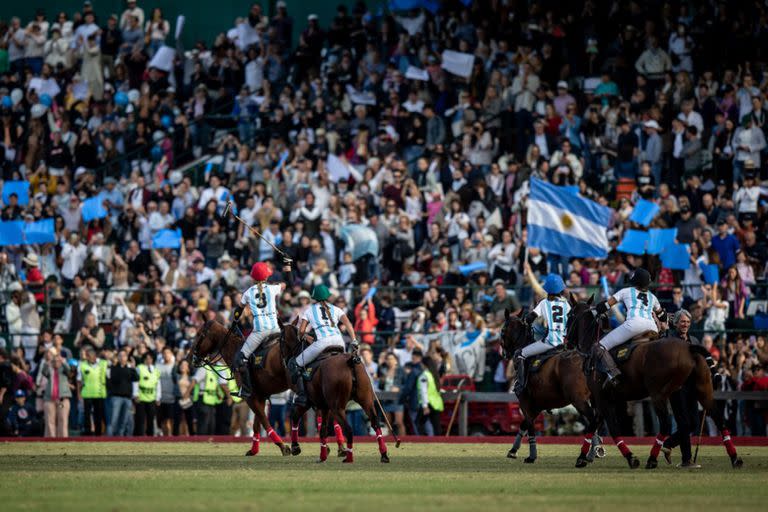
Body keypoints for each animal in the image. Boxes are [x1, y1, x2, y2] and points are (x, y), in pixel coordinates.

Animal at [280, 324, 390, 464]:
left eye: (280, 340)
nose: (284, 360)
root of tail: (351, 361)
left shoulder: (308, 402)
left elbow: (295, 416)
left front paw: (295, 447)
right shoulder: (323, 406)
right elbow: (323, 429)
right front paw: (323, 455)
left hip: (337, 407)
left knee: (349, 429)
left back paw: (349, 457)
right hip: (366, 400)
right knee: (375, 422)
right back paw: (384, 454)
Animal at [500, 308, 604, 468]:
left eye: (502, 330)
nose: (504, 353)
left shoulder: (525, 402)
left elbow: (530, 426)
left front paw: (531, 456)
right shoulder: (539, 405)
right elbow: (524, 424)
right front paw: (513, 450)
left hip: (579, 401)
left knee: (593, 420)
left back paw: (589, 454)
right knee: (596, 421)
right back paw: (593, 452)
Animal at [568, 300, 740, 472]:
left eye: (569, 315)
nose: (566, 342)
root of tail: (689, 347)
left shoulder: (601, 398)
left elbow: (610, 428)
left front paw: (629, 458)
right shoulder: (606, 399)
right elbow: (595, 425)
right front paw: (583, 457)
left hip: (658, 394)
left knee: (665, 424)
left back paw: (652, 459)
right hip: (703, 389)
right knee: (717, 419)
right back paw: (735, 458)